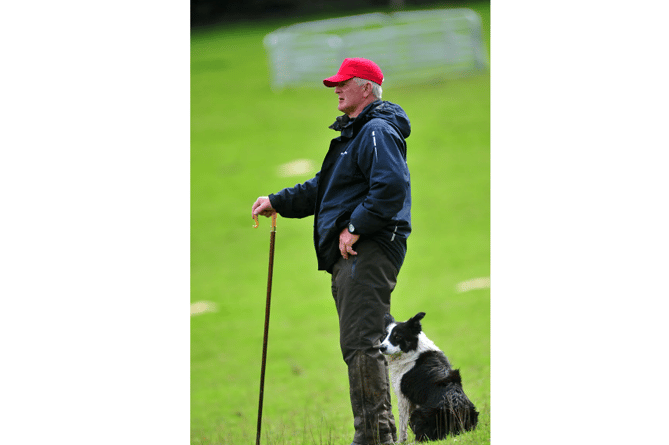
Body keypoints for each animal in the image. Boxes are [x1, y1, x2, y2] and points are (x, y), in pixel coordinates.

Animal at [378, 312, 478, 440]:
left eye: (397, 337)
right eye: (384, 336)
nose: (381, 348)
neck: (413, 350)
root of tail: (456, 411)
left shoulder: (403, 398)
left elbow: (402, 426)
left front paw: (401, 441)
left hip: (417, 415)